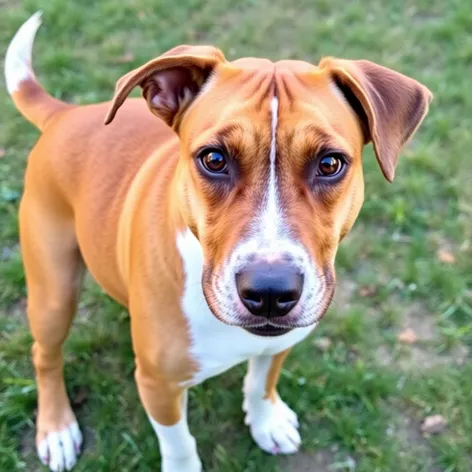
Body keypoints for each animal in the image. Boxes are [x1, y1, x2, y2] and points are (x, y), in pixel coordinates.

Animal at [4, 11, 432, 472]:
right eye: (214, 159)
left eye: (330, 164)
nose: (270, 292)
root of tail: (66, 114)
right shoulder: (158, 384)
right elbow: (179, 443)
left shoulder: (279, 342)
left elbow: (261, 383)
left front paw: (266, 422)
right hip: (53, 290)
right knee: (45, 354)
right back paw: (57, 428)